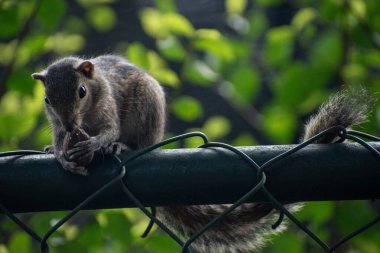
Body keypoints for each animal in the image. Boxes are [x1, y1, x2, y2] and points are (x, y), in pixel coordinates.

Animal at [31, 54, 372, 252]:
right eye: (47, 100)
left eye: (81, 92)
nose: (70, 123)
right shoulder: (58, 125)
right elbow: (60, 141)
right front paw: (59, 154)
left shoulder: (108, 106)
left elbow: (109, 131)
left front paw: (97, 143)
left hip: (146, 107)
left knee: (138, 142)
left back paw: (123, 147)